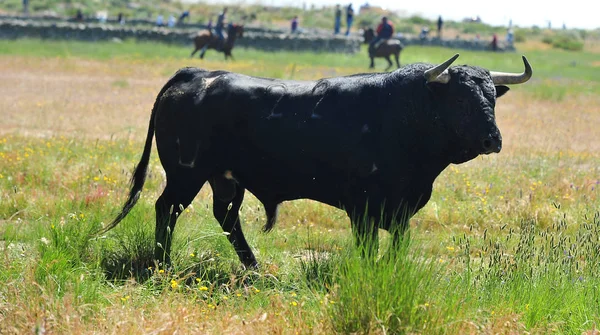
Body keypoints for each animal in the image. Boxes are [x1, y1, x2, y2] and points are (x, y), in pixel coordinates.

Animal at [96, 55, 532, 270]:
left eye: (492, 97)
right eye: (459, 98)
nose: (493, 140)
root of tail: (196, 74)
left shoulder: (400, 208)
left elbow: (397, 246)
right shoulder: (363, 207)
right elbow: (367, 248)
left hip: (224, 179)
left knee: (226, 218)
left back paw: (254, 268)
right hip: (186, 175)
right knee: (166, 208)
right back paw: (163, 263)